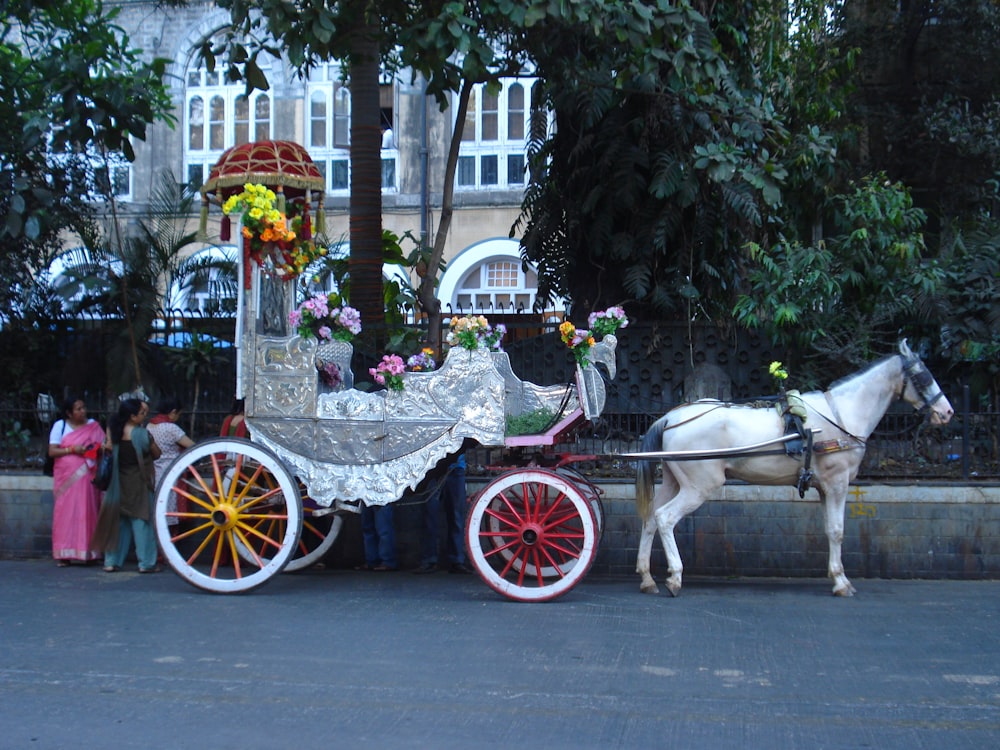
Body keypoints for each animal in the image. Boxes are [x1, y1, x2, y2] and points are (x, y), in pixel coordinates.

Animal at [636, 342, 956, 600]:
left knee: (651, 518)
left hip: (674, 482)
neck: (841, 414)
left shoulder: (825, 488)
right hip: (699, 486)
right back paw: (675, 576)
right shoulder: (838, 484)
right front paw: (841, 582)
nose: (947, 412)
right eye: (923, 376)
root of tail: (671, 417)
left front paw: (837, 576)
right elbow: (838, 531)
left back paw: (647, 577)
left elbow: (829, 529)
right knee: (665, 518)